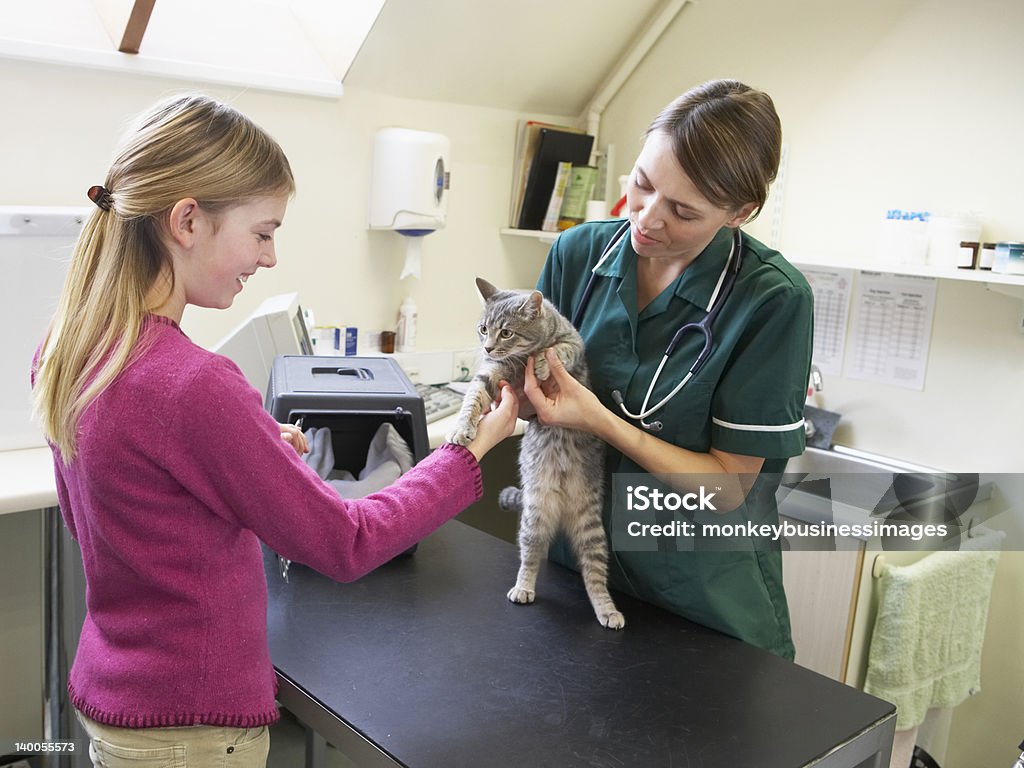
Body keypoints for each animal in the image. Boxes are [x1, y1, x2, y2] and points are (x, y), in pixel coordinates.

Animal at [446, 278, 622, 630]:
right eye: (483, 329)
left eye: (506, 333)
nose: (487, 348)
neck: (519, 357)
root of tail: (563, 508)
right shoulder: (492, 373)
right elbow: (473, 398)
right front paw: (462, 427)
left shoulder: (573, 342)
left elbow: (558, 349)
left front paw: (542, 362)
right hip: (534, 519)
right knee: (531, 558)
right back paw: (523, 587)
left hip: (593, 533)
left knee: (594, 576)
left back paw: (607, 609)